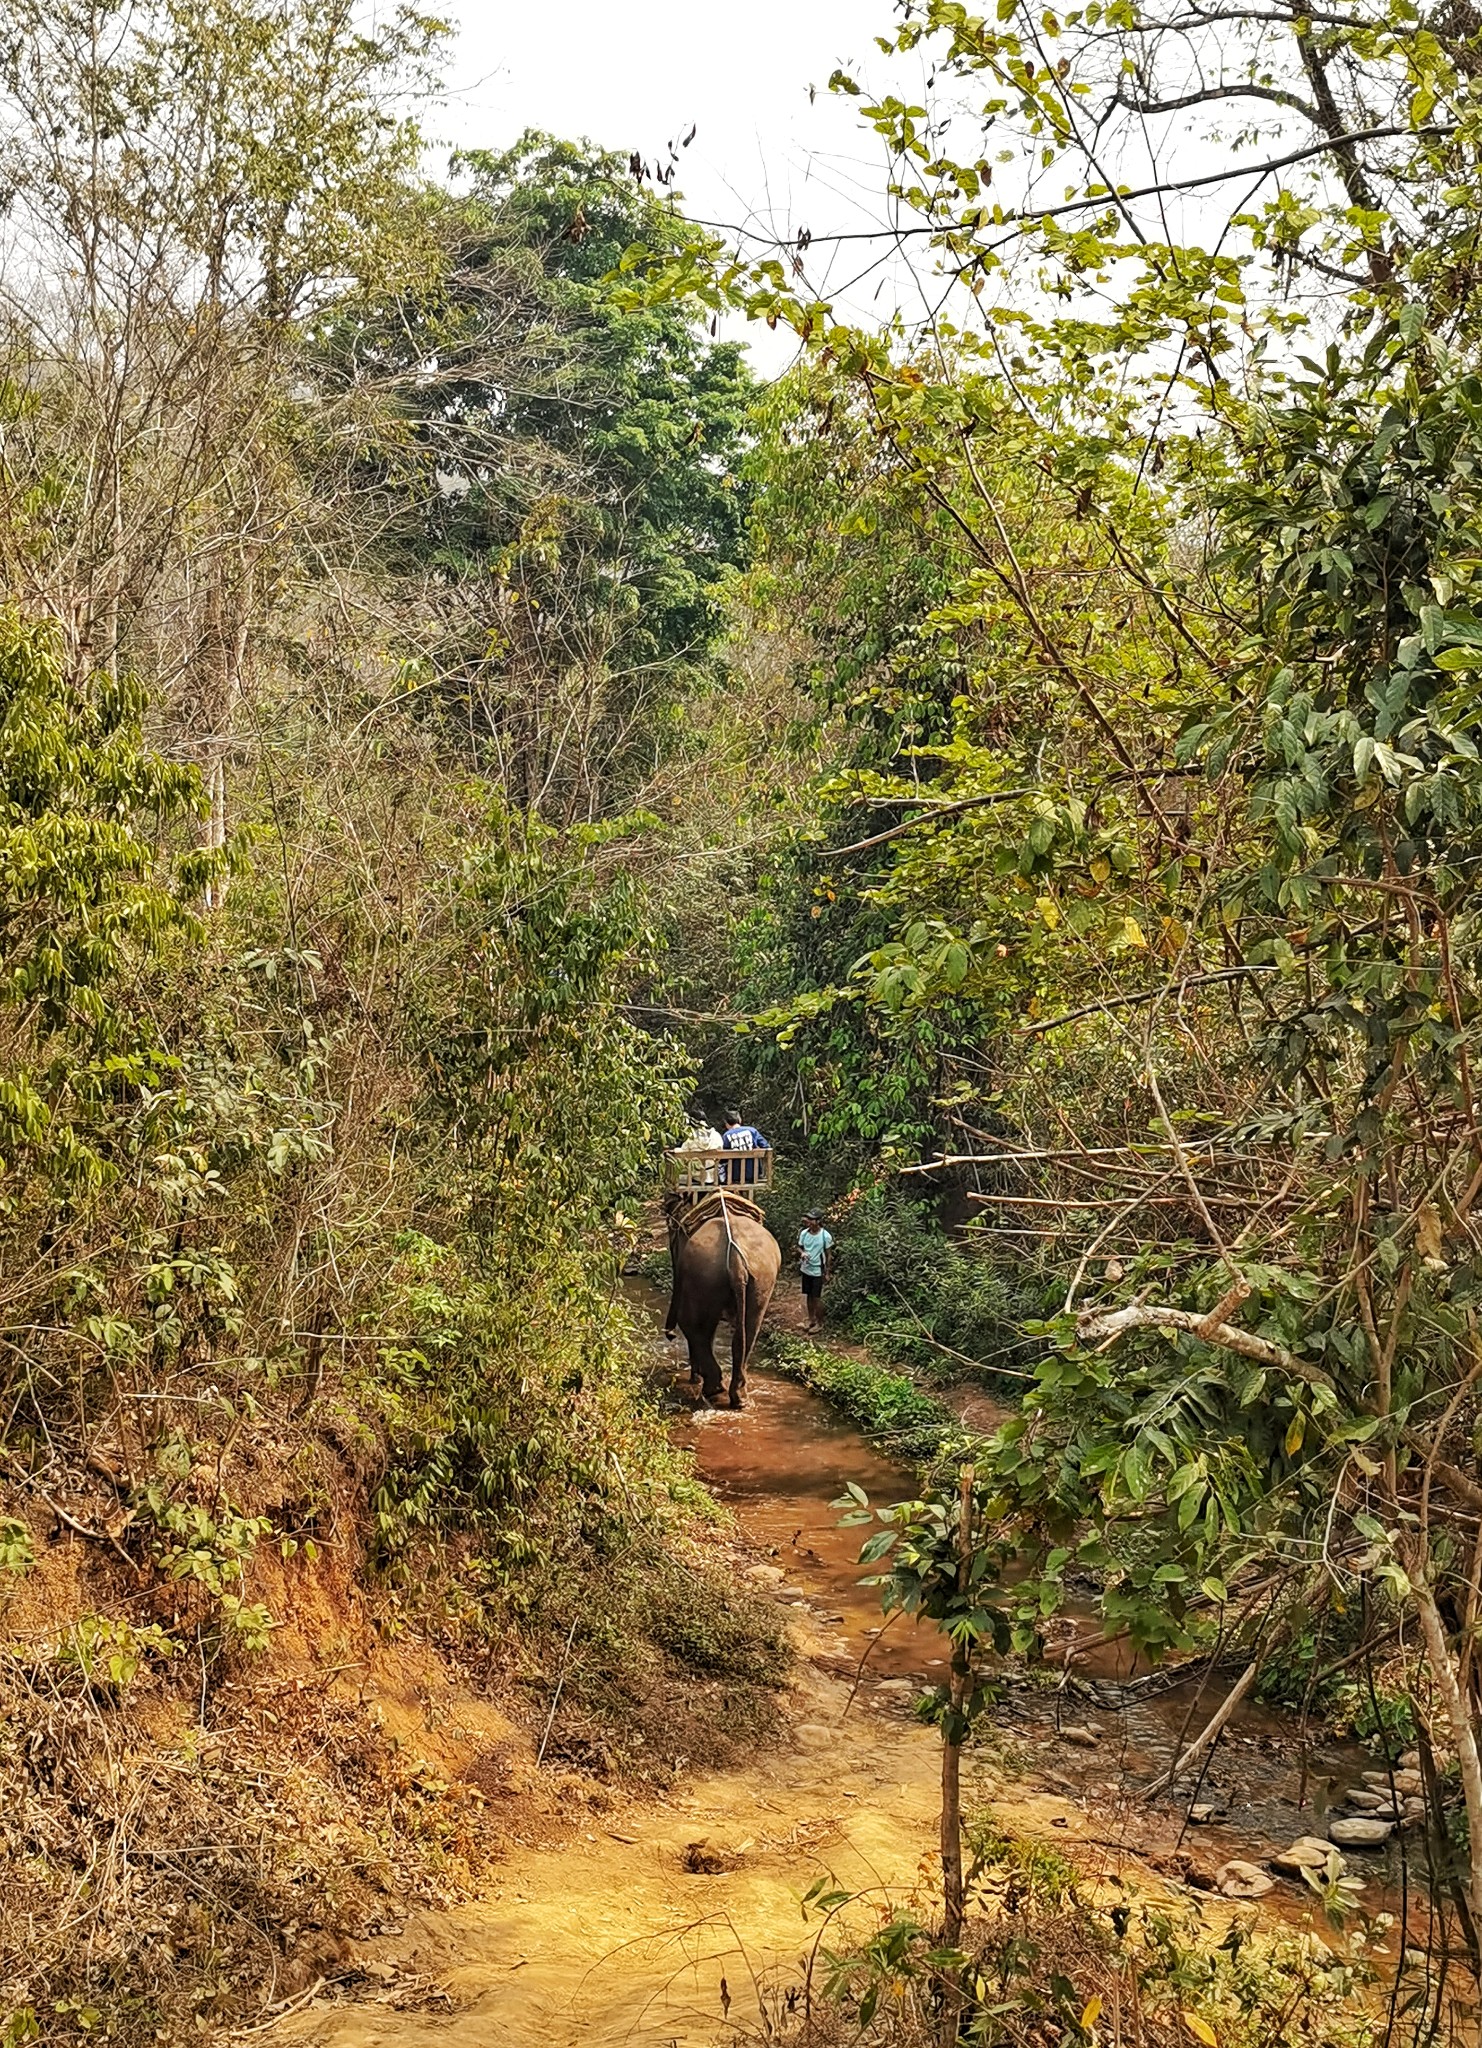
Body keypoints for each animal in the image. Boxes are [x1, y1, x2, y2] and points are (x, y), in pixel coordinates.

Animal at [663, 1196, 781, 1409]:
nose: (669, 1335)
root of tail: (736, 1260)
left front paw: (695, 1378)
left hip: (705, 1277)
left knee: (692, 1325)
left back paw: (713, 1390)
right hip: (761, 1279)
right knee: (748, 1331)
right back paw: (739, 1398)